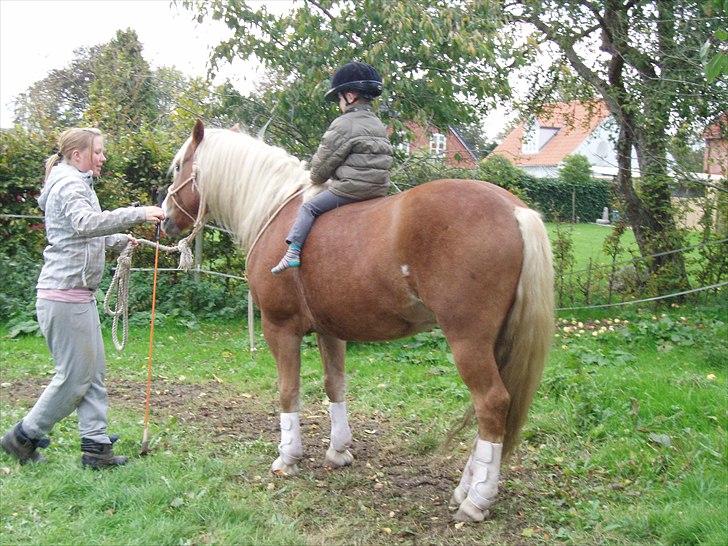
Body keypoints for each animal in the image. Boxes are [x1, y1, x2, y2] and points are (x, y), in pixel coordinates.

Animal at [162, 119, 556, 520]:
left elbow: (288, 391)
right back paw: (465, 489)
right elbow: (335, 386)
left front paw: (288, 457)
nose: (164, 220)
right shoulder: (330, 332)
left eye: (178, 167)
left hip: (468, 342)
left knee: (491, 403)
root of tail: (514, 210)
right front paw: (338, 451)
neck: (277, 210)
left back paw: (476, 501)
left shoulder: (280, 328)